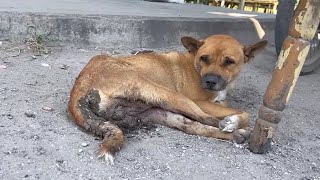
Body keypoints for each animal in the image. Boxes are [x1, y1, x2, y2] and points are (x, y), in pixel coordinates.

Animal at [68, 34, 268, 165]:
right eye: (204, 58)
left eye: (229, 61)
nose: (210, 81)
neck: (194, 64)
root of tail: (80, 87)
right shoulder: (200, 102)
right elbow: (244, 113)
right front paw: (233, 120)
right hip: (171, 95)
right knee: (206, 119)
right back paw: (237, 129)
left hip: (161, 112)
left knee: (195, 126)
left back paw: (236, 134)